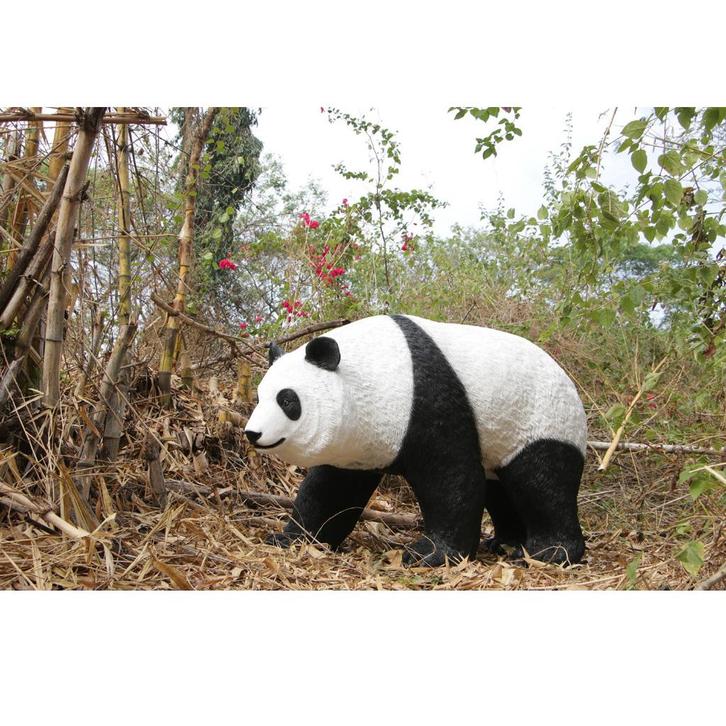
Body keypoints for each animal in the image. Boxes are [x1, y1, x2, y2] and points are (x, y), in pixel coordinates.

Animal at [244, 314, 587, 567]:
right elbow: (331, 490)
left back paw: (549, 552)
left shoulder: (427, 399)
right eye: (259, 397)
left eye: (288, 400)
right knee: (500, 488)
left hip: (542, 416)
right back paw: (505, 542)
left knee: (542, 480)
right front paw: (291, 538)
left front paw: (430, 554)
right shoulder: (356, 445)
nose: (253, 433)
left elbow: (452, 478)